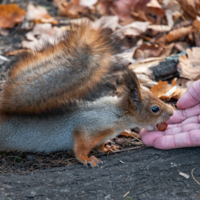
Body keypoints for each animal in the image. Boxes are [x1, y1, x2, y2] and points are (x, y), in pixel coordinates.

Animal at [0, 20, 173, 167]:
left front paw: (107, 148)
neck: (118, 114)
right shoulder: (88, 128)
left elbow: (100, 144)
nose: (172, 112)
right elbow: (81, 147)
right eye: (155, 109)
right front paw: (87, 159)